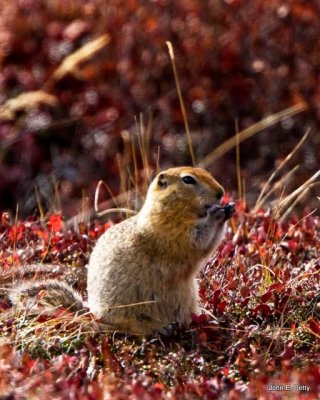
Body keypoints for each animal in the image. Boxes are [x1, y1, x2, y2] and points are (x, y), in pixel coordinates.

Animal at [10, 166, 235, 334]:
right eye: (188, 179)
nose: (221, 192)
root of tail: (91, 314)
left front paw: (229, 208)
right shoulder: (172, 232)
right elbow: (197, 240)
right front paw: (216, 214)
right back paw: (160, 329)